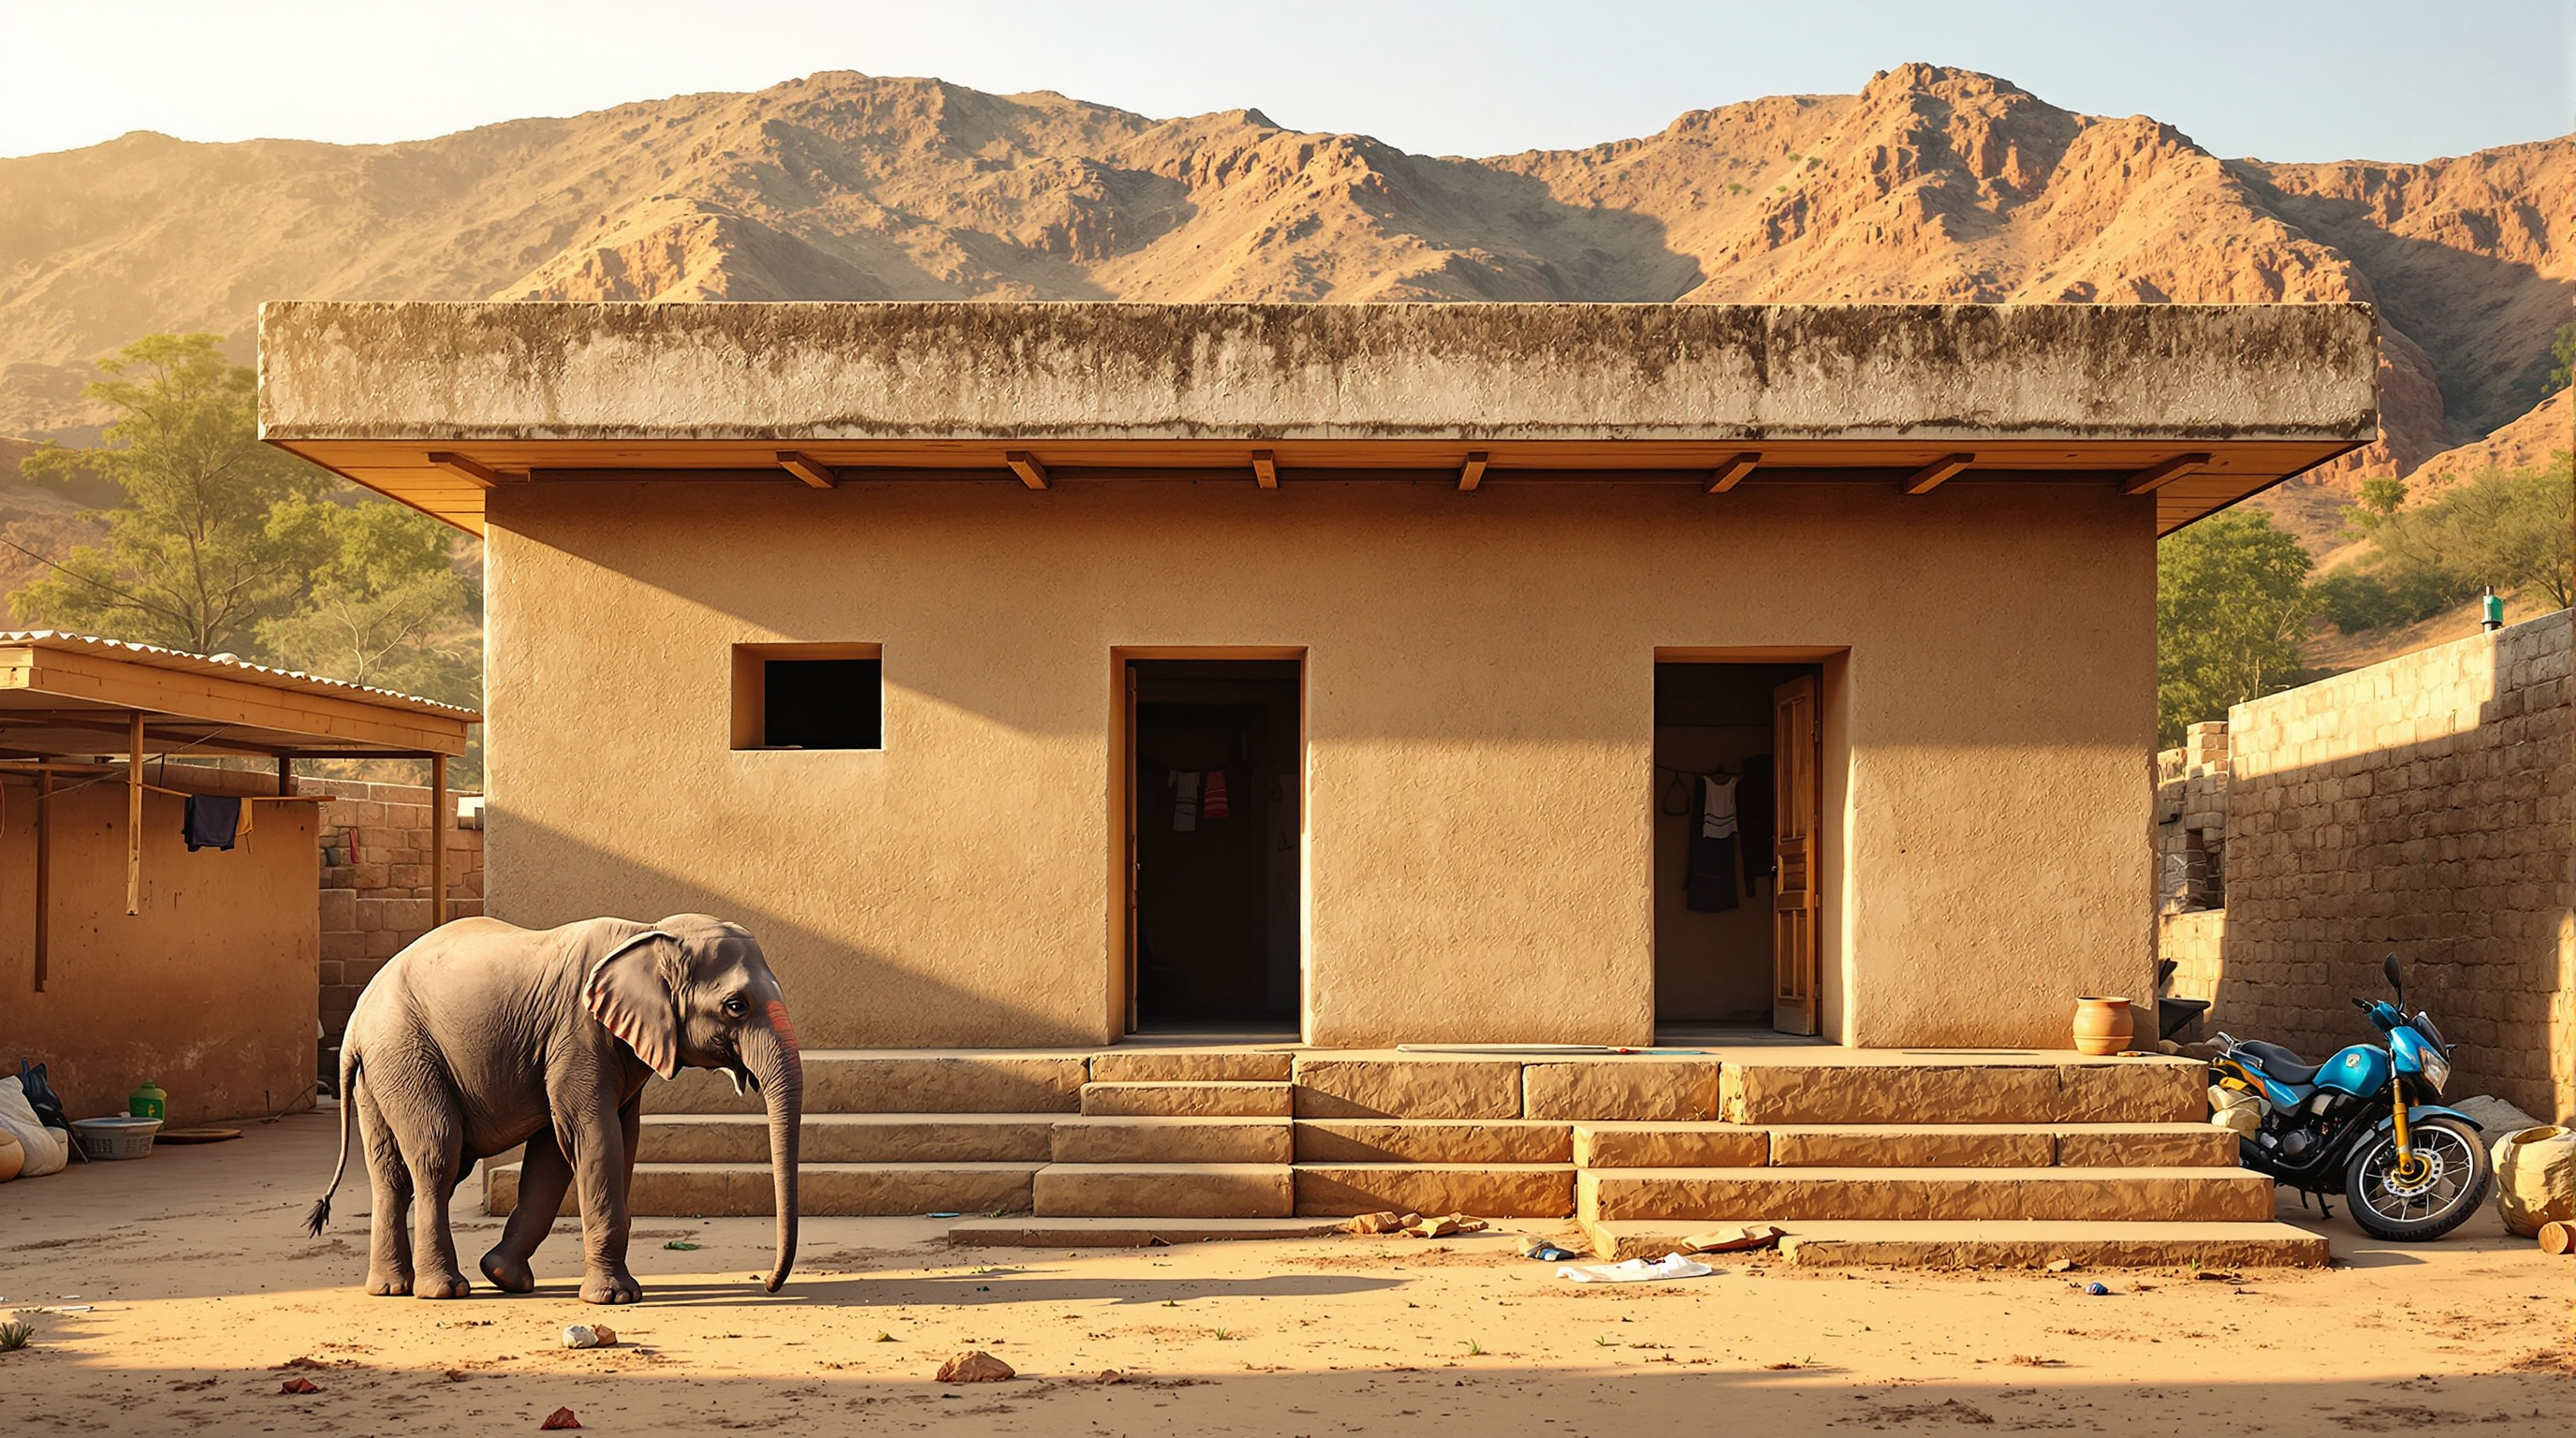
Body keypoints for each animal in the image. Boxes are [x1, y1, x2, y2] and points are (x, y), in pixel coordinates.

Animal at [306, 914, 803, 1304]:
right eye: (736, 1006)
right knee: (438, 1157)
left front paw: (505, 1277)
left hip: (381, 1073)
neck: (648, 934)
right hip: (405, 1054)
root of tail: (355, 1022)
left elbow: (572, 1150)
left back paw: (391, 1288)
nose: (768, 1285)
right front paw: (615, 1298)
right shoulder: (578, 1035)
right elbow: (594, 1138)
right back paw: (444, 1290)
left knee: (392, 1174)